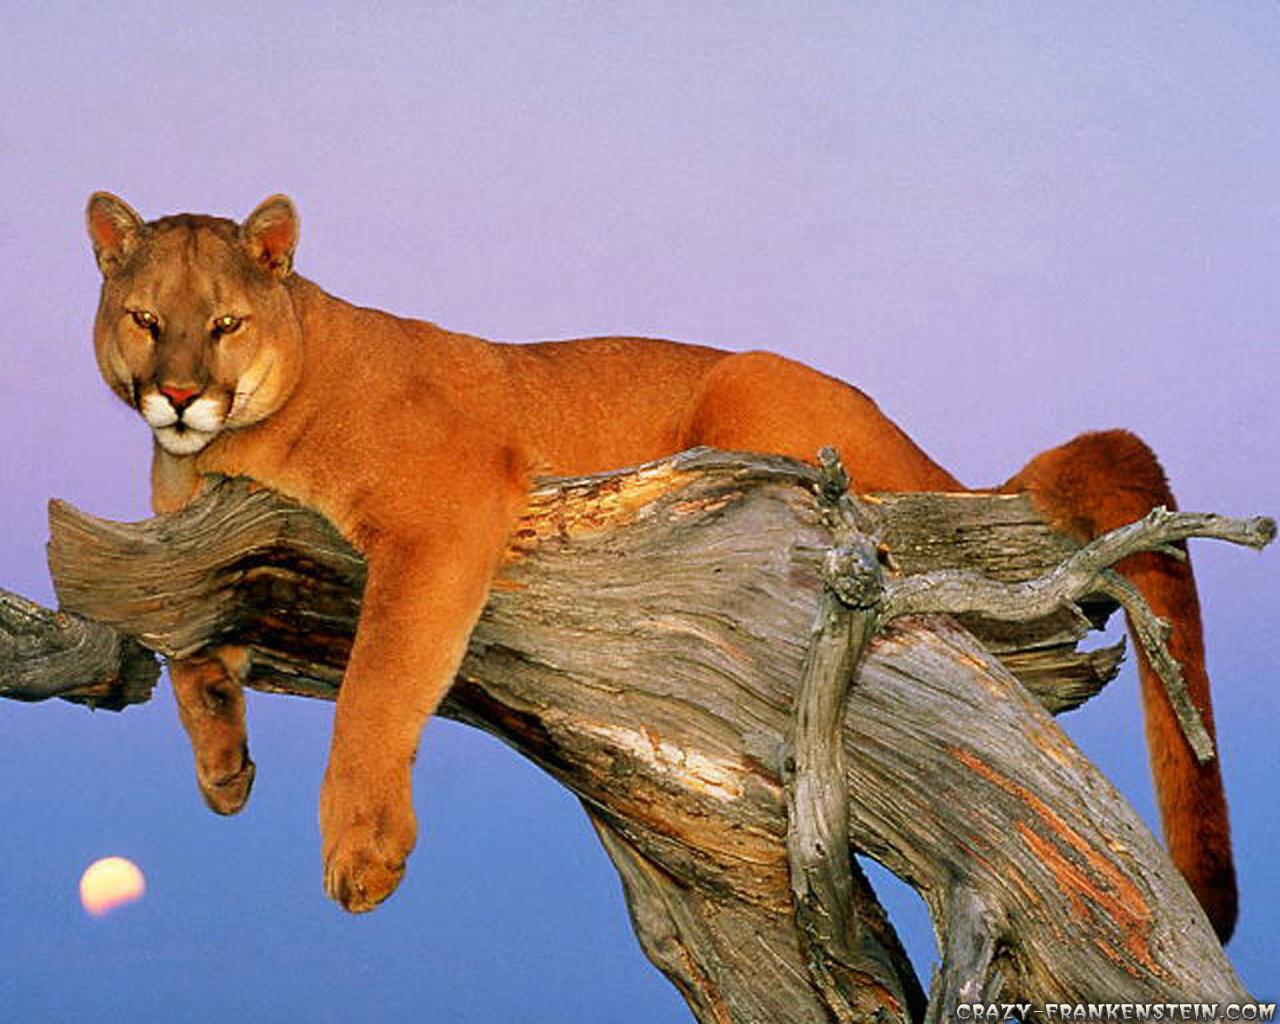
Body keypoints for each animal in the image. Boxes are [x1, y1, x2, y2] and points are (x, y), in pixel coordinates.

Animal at [85, 192, 1237, 941]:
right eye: (145, 319)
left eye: (225, 322)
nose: (178, 395)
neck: (221, 456)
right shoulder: (182, 546)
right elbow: (187, 643)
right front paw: (222, 763)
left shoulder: (441, 512)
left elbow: (379, 679)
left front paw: (361, 848)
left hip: (753, 395)